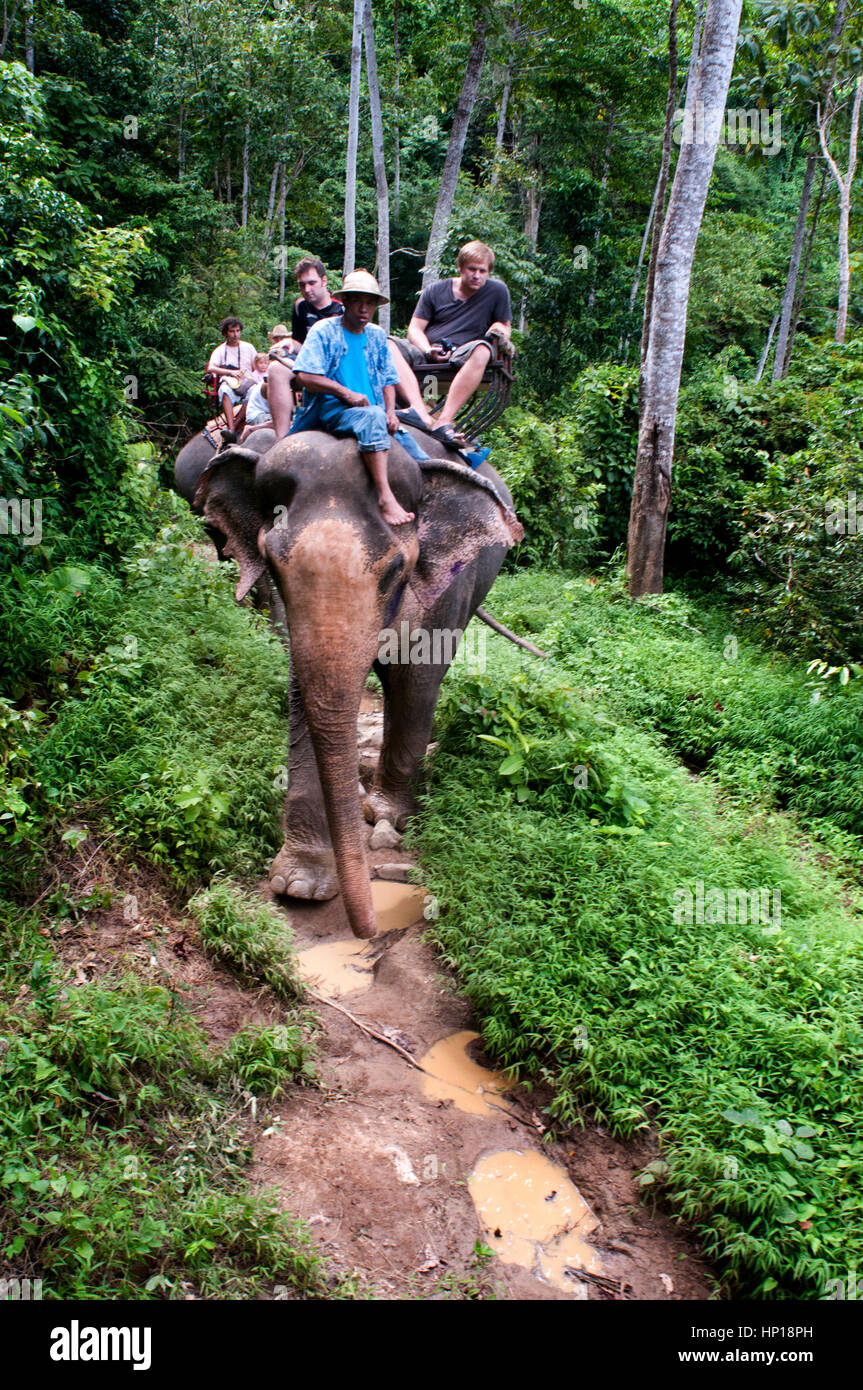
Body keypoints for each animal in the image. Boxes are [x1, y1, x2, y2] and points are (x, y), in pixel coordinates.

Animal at [174, 424, 522, 939]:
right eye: (270, 562)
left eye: (396, 571)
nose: (368, 930)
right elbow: (306, 695)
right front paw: (299, 886)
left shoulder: (447, 589)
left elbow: (418, 678)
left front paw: (387, 815)